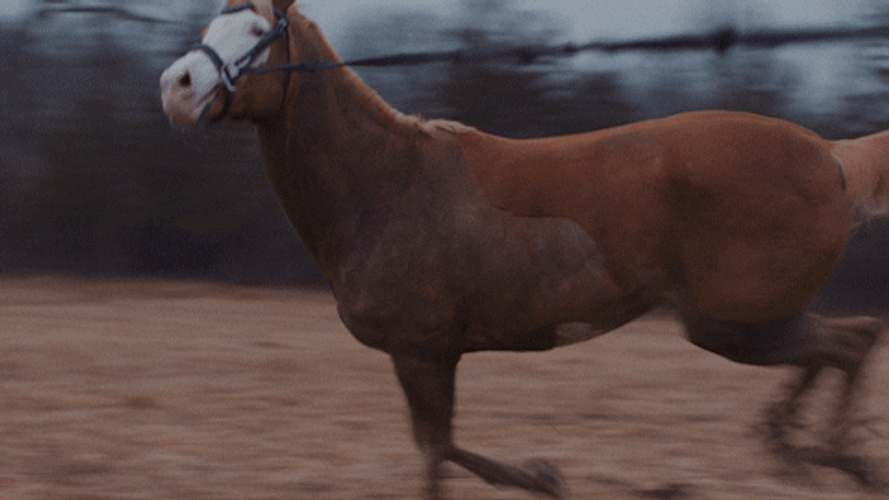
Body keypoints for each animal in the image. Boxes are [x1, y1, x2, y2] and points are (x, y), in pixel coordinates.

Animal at [160, 1, 886, 497]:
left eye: (259, 33)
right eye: (211, 24)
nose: (177, 86)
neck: (384, 182)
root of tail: (832, 158)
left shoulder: (420, 349)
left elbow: (435, 452)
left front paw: (546, 475)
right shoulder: (432, 353)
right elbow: (441, 448)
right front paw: (545, 474)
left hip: (731, 321)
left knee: (847, 343)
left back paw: (829, 455)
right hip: (751, 318)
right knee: (849, 338)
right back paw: (806, 449)